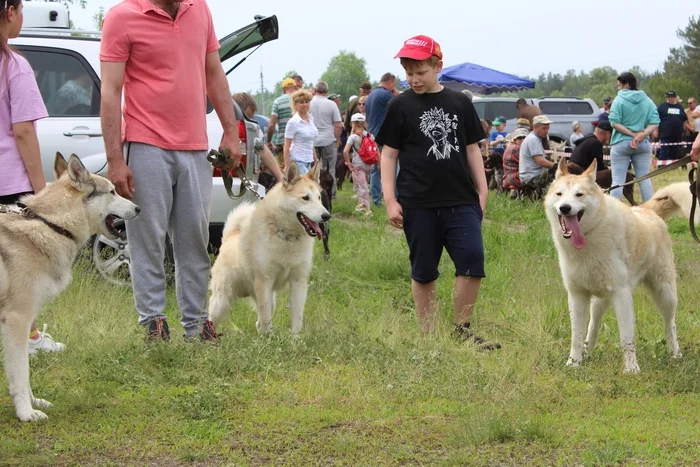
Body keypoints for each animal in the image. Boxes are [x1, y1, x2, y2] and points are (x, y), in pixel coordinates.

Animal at [0, 154, 139, 424]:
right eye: (113, 191)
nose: (139, 208)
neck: (51, 224)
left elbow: (23, 374)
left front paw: (33, 403)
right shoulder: (17, 321)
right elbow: (21, 374)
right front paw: (26, 413)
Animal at [208, 163, 330, 334]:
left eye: (319, 198)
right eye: (305, 198)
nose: (327, 216)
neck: (287, 236)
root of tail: (229, 237)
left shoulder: (298, 282)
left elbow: (296, 318)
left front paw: (295, 339)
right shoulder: (264, 282)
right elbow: (266, 320)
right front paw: (268, 339)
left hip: (269, 298)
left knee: (258, 322)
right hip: (222, 302)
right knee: (210, 319)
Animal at [544, 159, 680, 374]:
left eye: (579, 195)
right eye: (559, 194)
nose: (565, 208)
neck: (589, 238)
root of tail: (647, 210)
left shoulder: (621, 294)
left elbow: (626, 338)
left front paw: (631, 369)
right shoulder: (577, 295)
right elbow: (576, 335)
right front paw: (574, 363)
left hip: (665, 293)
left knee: (670, 323)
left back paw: (675, 352)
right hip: (599, 301)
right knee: (594, 326)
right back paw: (588, 352)